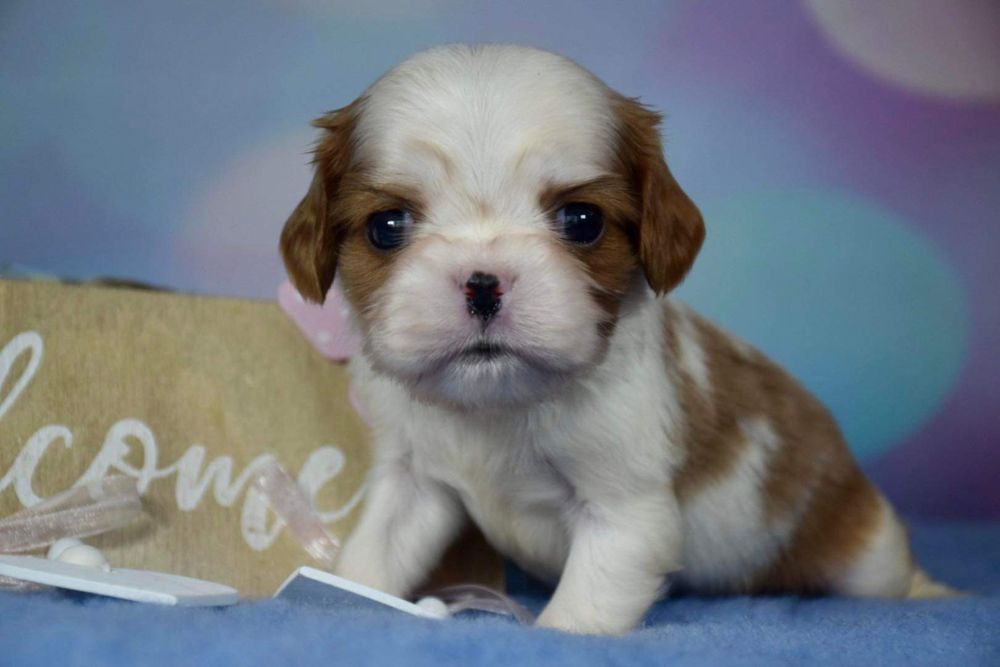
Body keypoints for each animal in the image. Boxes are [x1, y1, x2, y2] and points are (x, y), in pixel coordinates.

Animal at [278, 44, 948, 636]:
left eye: (582, 221)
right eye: (387, 226)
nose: (483, 283)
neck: (500, 406)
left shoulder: (626, 513)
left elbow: (583, 613)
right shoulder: (413, 480)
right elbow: (373, 556)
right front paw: (345, 593)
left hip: (863, 553)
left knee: (892, 578)